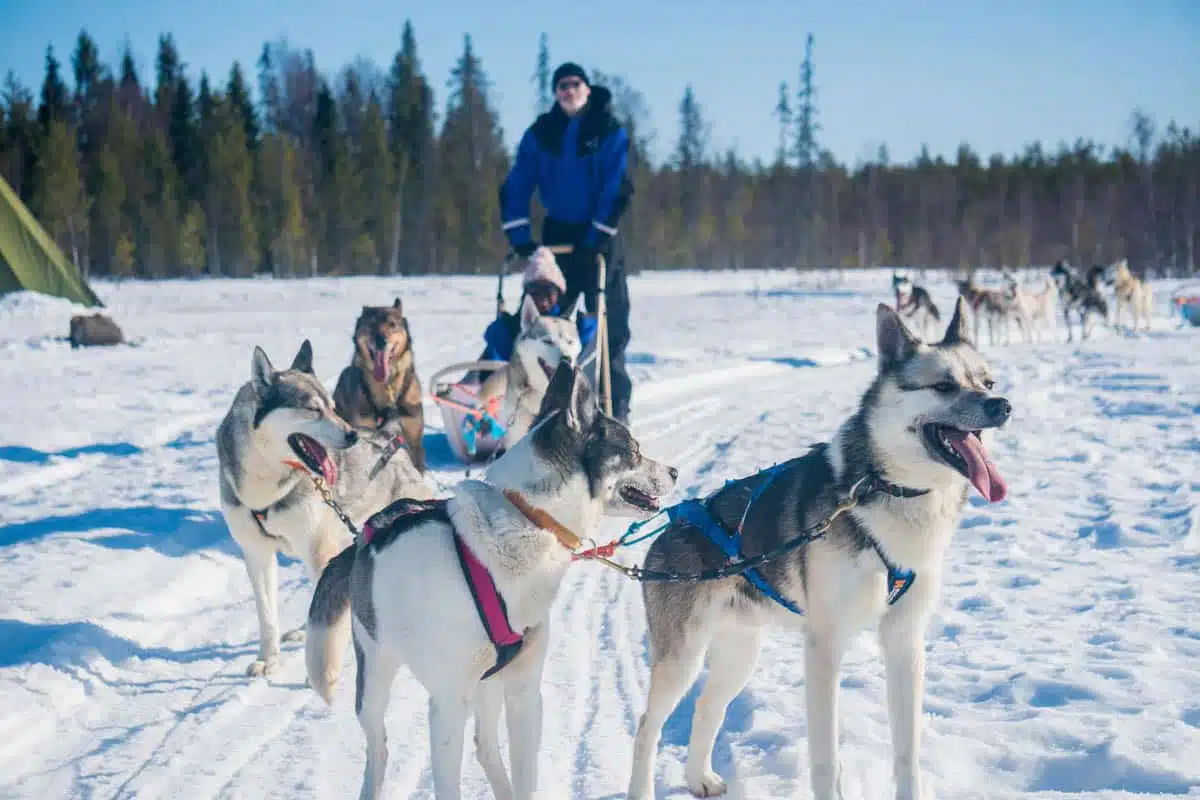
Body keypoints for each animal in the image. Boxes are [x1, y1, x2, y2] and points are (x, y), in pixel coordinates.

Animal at [216, 340, 432, 681]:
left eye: (332, 406)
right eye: (313, 409)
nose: (353, 435)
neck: (266, 484)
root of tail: (384, 438)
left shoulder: (317, 549)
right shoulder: (257, 554)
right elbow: (267, 617)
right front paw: (269, 659)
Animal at [304, 362, 676, 800]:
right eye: (633, 449)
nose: (674, 471)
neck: (529, 518)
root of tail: (365, 534)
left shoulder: (524, 692)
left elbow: (525, 775)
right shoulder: (448, 705)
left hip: (488, 682)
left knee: (484, 745)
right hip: (376, 676)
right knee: (378, 749)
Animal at [628, 298, 1012, 800]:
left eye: (987, 382)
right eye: (944, 385)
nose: (1002, 405)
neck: (889, 490)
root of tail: (675, 521)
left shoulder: (905, 642)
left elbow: (907, 752)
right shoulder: (825, 645)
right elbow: (828, 758)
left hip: (739, 653)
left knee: (706, 707)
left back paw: (699, 779)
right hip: (683, 658)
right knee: (647, 727)